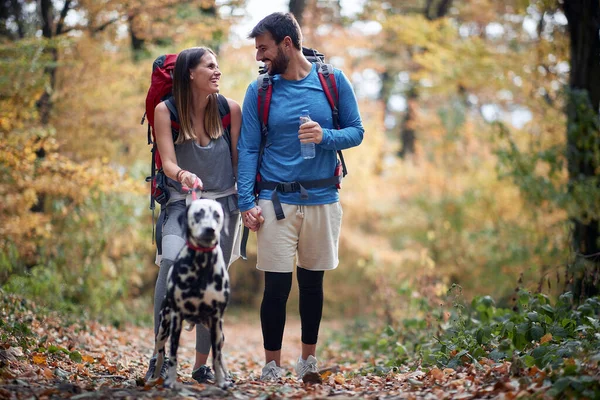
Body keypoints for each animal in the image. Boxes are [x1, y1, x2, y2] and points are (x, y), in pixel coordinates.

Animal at [151, 198, 231, 390]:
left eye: (217, 215)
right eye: (198, 214)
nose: (209, 229)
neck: (202, 263)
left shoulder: (216, 320)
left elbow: (216, 357)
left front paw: (221, 381)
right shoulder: (176, 320)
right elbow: (173, 356)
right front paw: (170, 381)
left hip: (218, 332)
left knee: (219, 354)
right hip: (163, 328)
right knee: (160, 353)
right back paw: (155, 377)